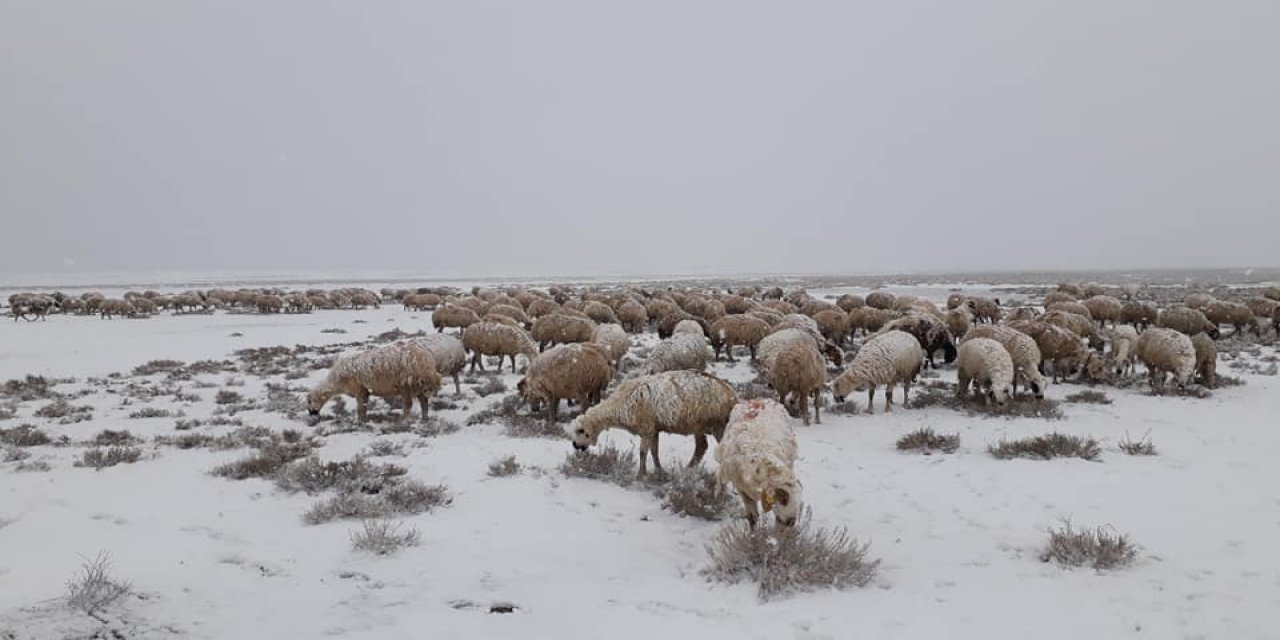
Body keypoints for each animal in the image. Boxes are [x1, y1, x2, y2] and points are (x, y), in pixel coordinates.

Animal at [305, 340, 442, 424]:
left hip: (408, 384)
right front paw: (364, 420)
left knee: (408, 405)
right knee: (424, 402)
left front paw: (360, 422)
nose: (311, 414)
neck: (337, 381)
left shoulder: (359, 389)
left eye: (309, 401)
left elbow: (360, 408)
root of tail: (427, 359)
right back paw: (424, 419)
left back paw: (403, 420)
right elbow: (364, 407)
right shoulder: (365, 391)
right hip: (420, 386)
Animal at [568, 368, 737, 478]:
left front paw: (641, 474)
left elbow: (643, 452)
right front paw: (659, 470)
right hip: (699, 425)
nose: (575, 445)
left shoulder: (647, 428)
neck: (620, 403)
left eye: (580, 431)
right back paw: (687, 470)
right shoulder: (654, 429)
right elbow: (654, 451)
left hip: (718, 425)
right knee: (701, 447)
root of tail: (732, 394)